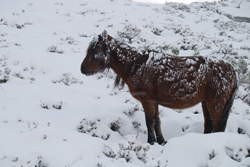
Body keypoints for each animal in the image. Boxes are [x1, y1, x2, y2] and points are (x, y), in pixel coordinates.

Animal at [80, 30, 238, 145]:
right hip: (206, 103)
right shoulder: (155, 102)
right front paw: (161, 141)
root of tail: (231, 68)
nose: (82, 69)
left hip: (215, 103)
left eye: (96, 49)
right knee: (209, 125)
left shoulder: (147, 101)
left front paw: (151, 142)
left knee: (217, 127)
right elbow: (157, 122)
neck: (137, 65)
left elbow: (149, 122)